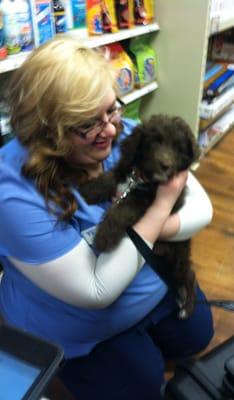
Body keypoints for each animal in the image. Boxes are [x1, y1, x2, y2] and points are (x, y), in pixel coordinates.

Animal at [80, 113, 199, 318]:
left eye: (179, 149)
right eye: (155, 141)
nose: (165, 165)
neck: (141, 179)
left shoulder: (149, 199)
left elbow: (126, 206)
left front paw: (104, 237)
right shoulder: (127, 167)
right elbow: (112, 176)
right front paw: (91, 190)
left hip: (178, 255)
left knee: (188, 274)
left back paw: (187, 304)